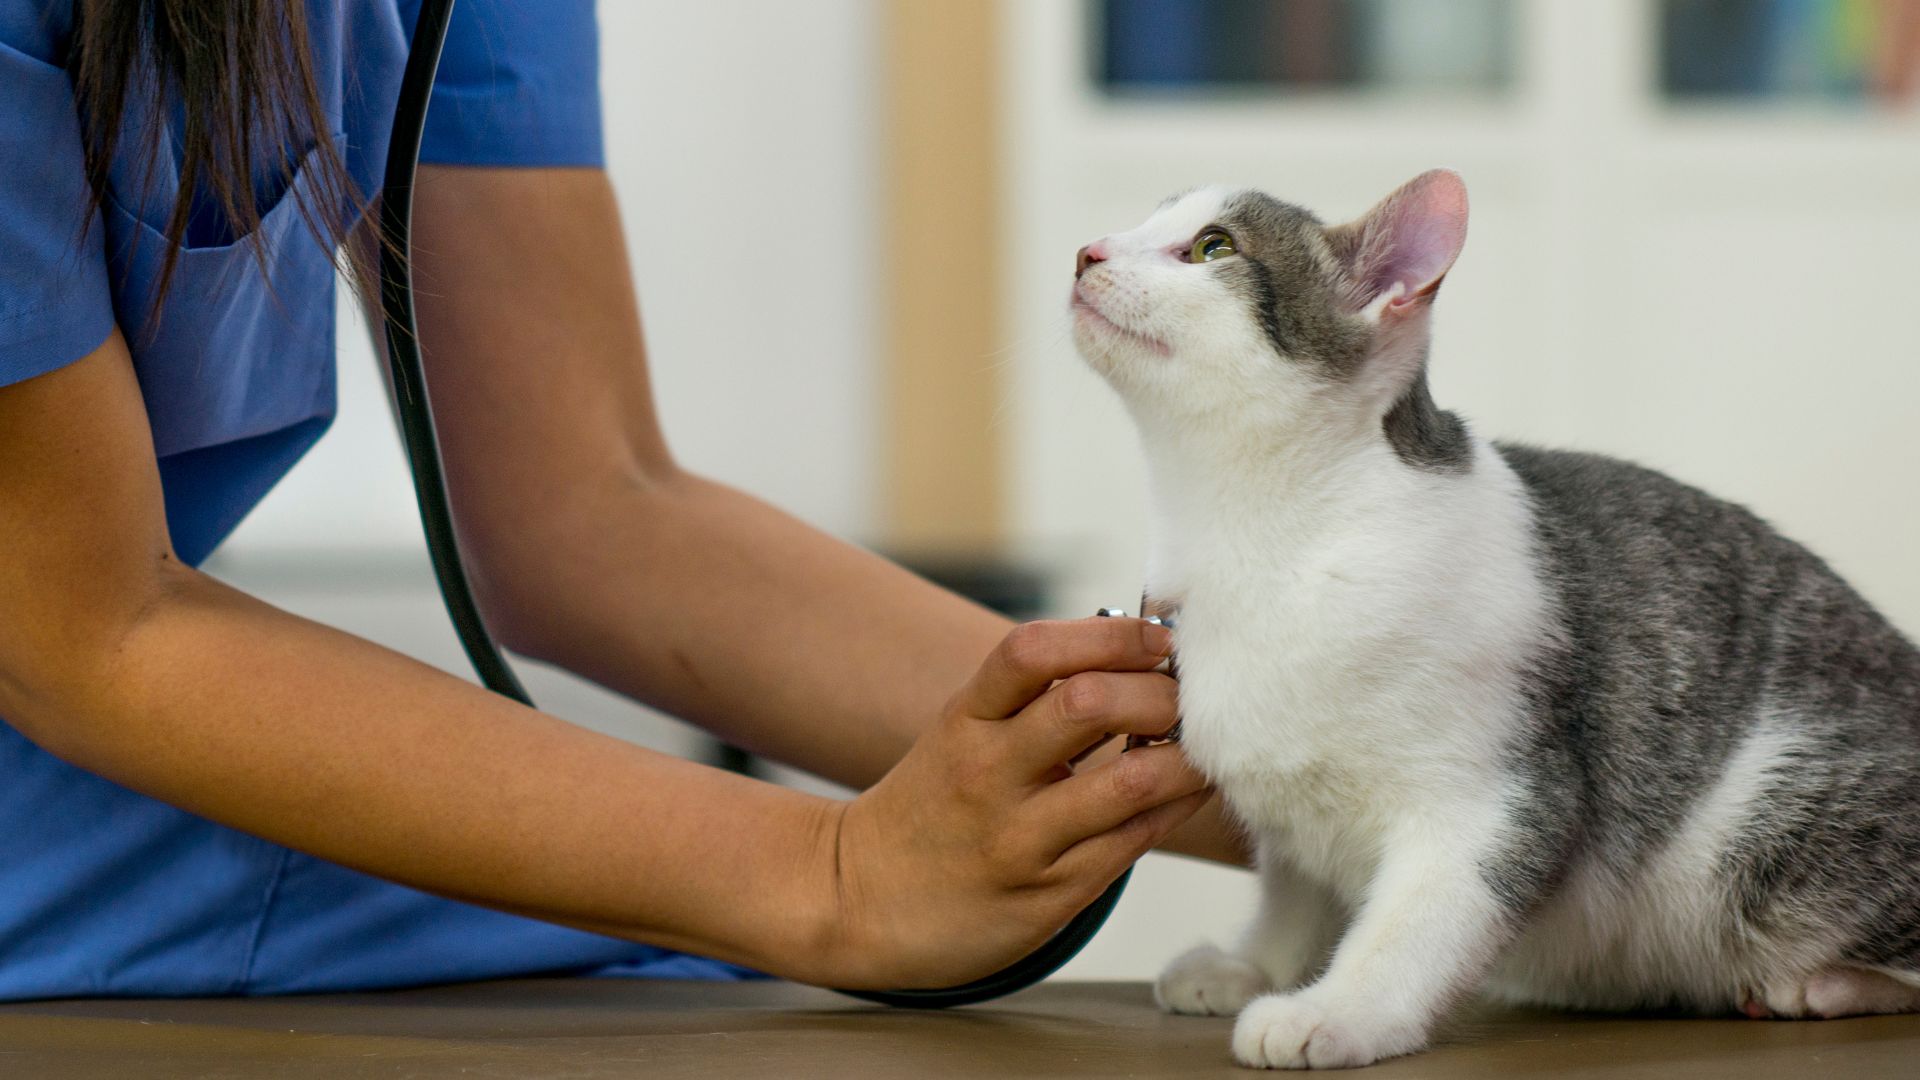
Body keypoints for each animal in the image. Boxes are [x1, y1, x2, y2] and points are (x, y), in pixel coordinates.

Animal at [1067, 171, 1920, 1060]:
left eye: (1212, 247)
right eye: (1145, 222)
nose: (1086, 251)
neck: (1261, 541)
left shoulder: (1497, 796)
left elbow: (1416, 923)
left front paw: (1337, 1011)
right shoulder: (1292, 816)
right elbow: (1294, 895)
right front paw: (1256, 966)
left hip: (1769, 825)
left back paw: (1823, 985)